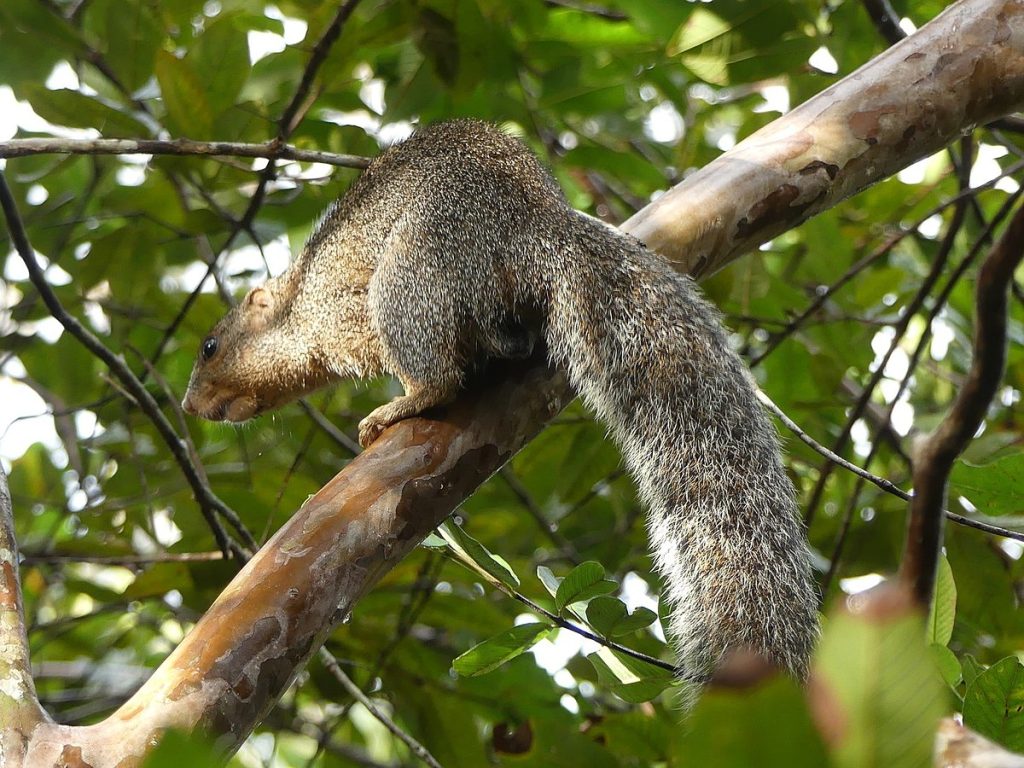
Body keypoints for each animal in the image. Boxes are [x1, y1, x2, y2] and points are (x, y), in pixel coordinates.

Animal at [184, 118, 819, 684]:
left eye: (210, 347)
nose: (190, 407)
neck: (296, 308)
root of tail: (530, 224)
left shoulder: (341, 317)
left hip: (411, 276)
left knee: (439, 372)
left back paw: (399, 407)